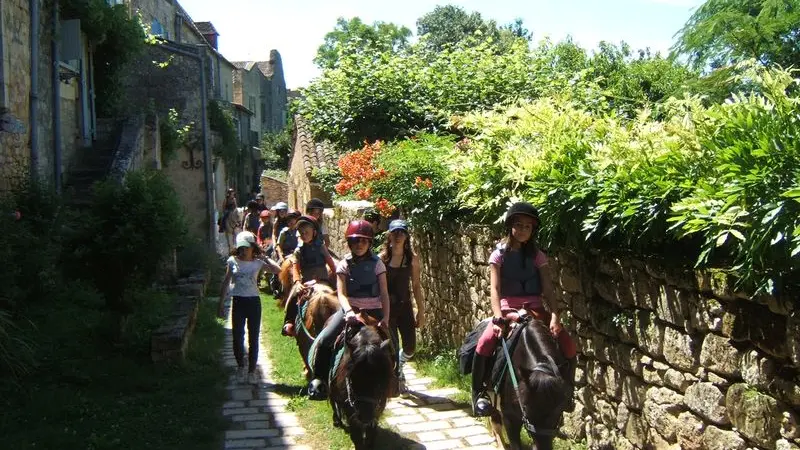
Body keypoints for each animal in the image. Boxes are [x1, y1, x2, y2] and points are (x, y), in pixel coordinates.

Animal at [330, 312, 396, 450]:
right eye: (352, 378)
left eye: (379, 379)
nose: (365, 416)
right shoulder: (350, 409)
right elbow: (356, 436)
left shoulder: (378, 406)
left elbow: (371, 433)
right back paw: (337, 421)